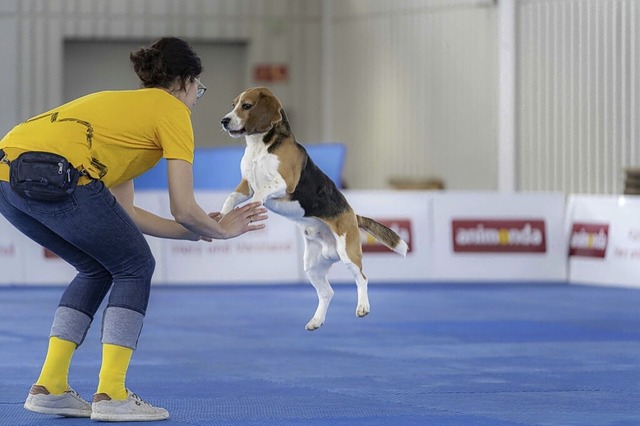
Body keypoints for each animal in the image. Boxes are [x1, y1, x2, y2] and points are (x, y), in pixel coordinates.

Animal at [222, 88, 408, 332]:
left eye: (247, 106)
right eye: (233, 104)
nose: (224, 121)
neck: (258, 147)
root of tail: (352, 214)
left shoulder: (284, 182)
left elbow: (262, 192)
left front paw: (254, 208)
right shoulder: (246, 184)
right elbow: (232, 197)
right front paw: (223, 216)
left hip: (348, 253)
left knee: (362, 279)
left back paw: (362, 307)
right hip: (312, 266)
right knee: (327, 293)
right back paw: (316, 321)